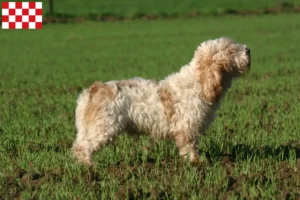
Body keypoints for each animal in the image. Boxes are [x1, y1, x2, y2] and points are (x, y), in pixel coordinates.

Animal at [71, 37, 251, 166]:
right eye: (231, 49)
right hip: (103, 127)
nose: (249, 49)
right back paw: (90, 167)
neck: (199, 81)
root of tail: (92, 90)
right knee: (82, 148)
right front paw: (195, 162)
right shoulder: (187, 128)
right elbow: (189, 146)